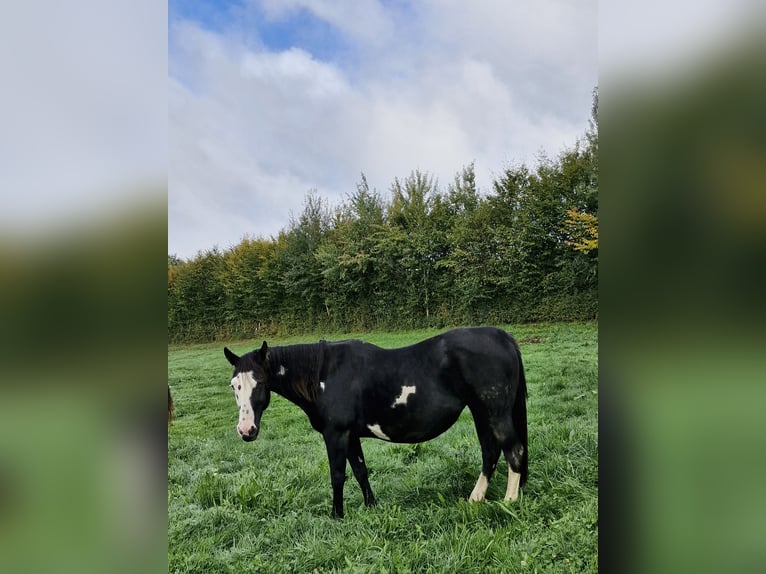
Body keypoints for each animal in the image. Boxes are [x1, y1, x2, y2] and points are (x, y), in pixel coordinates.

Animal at [223, 327, 527, 518]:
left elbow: (338, 474)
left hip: (494, 412)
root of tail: (503, 336)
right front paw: (371, 506)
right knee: (491, 451)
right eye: (234, 385)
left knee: (513, 450)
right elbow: (360, 471)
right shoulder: (351, 435)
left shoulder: (336, 434)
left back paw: (509, 501)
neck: (323, 374)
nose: (246, 431)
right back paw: (476, 498)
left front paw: (337, 515)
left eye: (260, 383)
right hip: (481, 412)